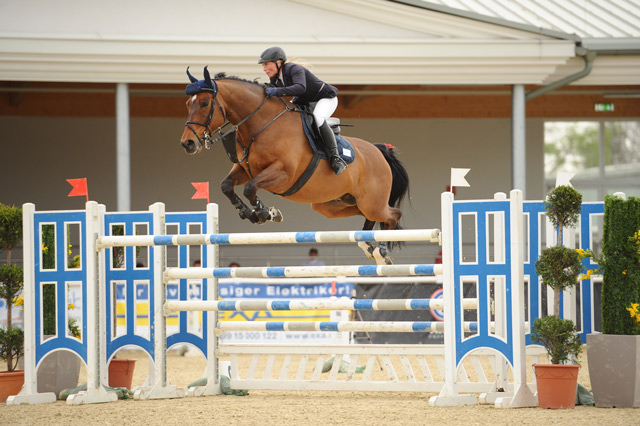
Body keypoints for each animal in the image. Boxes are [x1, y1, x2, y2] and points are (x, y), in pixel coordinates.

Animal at [179, 67, 410, 262]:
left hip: (371, 201)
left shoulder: (283, 174)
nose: (187, 144)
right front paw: (251, 213)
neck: (263, 124)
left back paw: (382, 251)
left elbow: (250, 188)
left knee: (392, 215)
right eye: (188, 104)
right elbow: (227, 186)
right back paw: (368, 245)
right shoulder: (245, 169)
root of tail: (379, 152)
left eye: (205, 103)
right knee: (368, 217)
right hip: (334, 204)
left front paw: (265, 213)